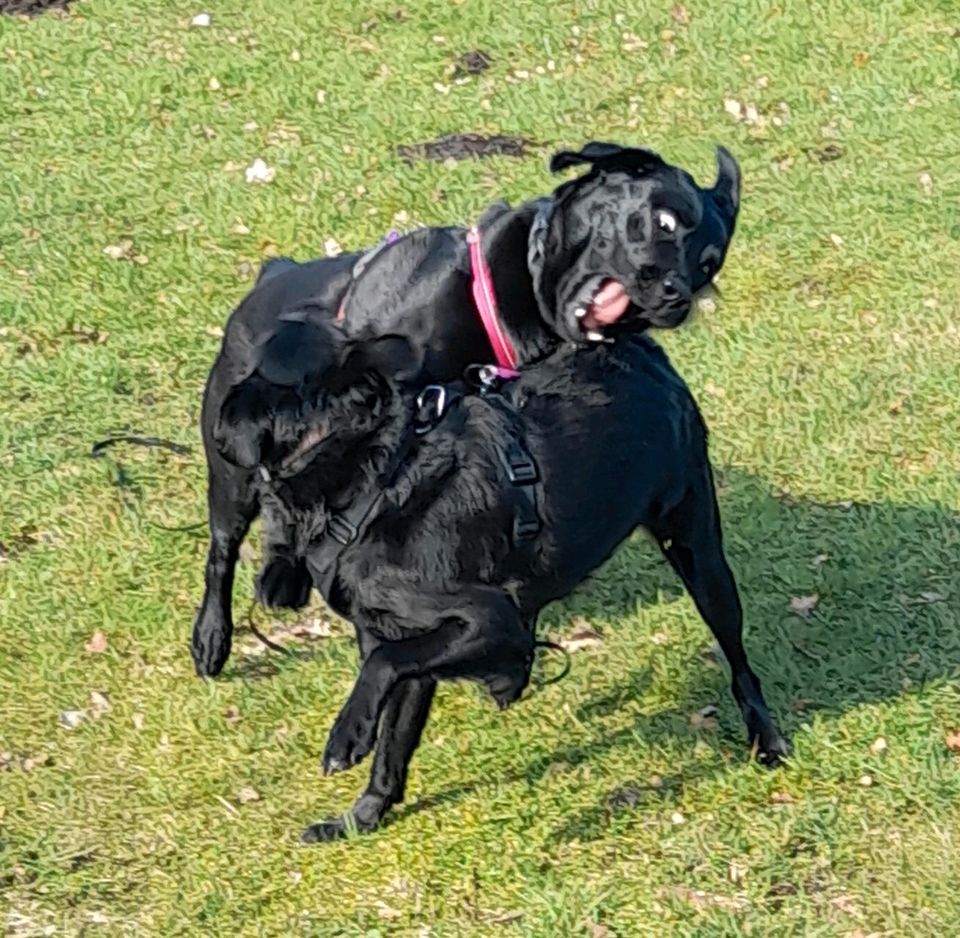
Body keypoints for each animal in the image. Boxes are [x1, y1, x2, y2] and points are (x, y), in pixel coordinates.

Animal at [193, 326, 788, 836]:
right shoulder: (410, 645)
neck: (373, 478)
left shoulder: (492, 621)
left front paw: (348, 735)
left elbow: (383, 671)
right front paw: (361, 819)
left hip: (699, 552)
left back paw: (768, 739)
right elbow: (394, 742)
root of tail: (639, 348)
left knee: (739, 661)